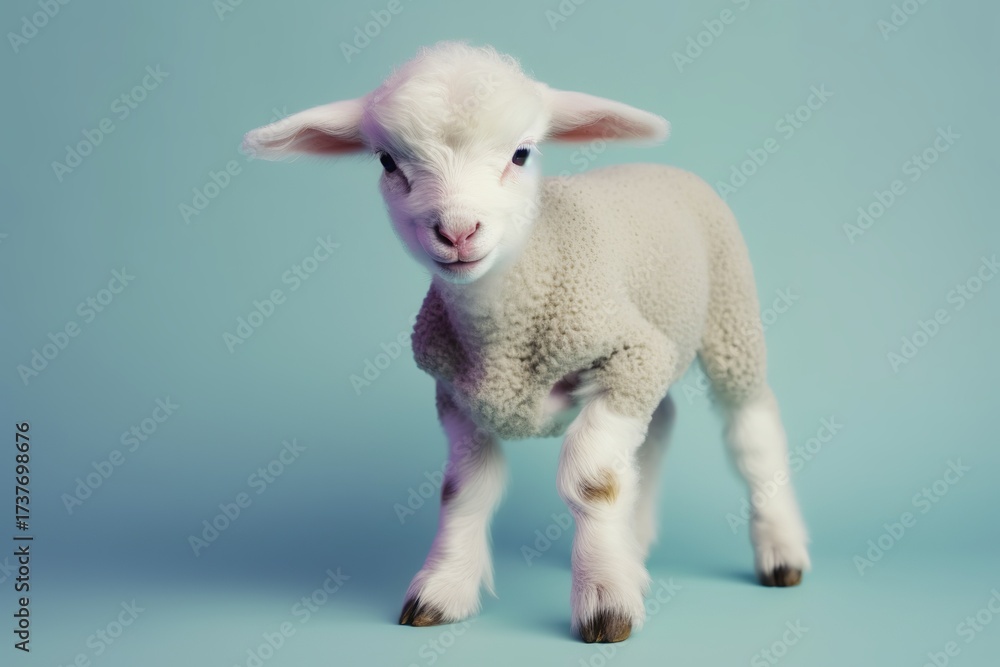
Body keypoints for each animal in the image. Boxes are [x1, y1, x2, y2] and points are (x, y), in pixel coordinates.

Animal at [243, 41, 810, 644]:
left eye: (520, 154)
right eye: (387, 162)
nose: (458, 231)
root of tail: (656, 167)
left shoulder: (631, 350)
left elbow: (591, 480)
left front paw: (605, 602)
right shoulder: (457, 397)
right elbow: (462, 492)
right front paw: (443, 590)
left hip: (728, 314)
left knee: (750, 424)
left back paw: (779, 551)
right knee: (659, 425)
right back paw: (634, 547)